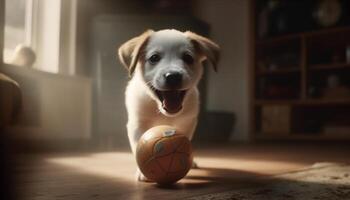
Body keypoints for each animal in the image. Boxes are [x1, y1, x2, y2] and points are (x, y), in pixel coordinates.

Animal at [119, 29, 220, 181]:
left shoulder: (187, 123)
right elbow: (138, 145)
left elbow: (186, 140)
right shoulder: (137, 124)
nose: (173, 76)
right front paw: (143, 171)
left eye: (188, 58)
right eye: (154, 58)